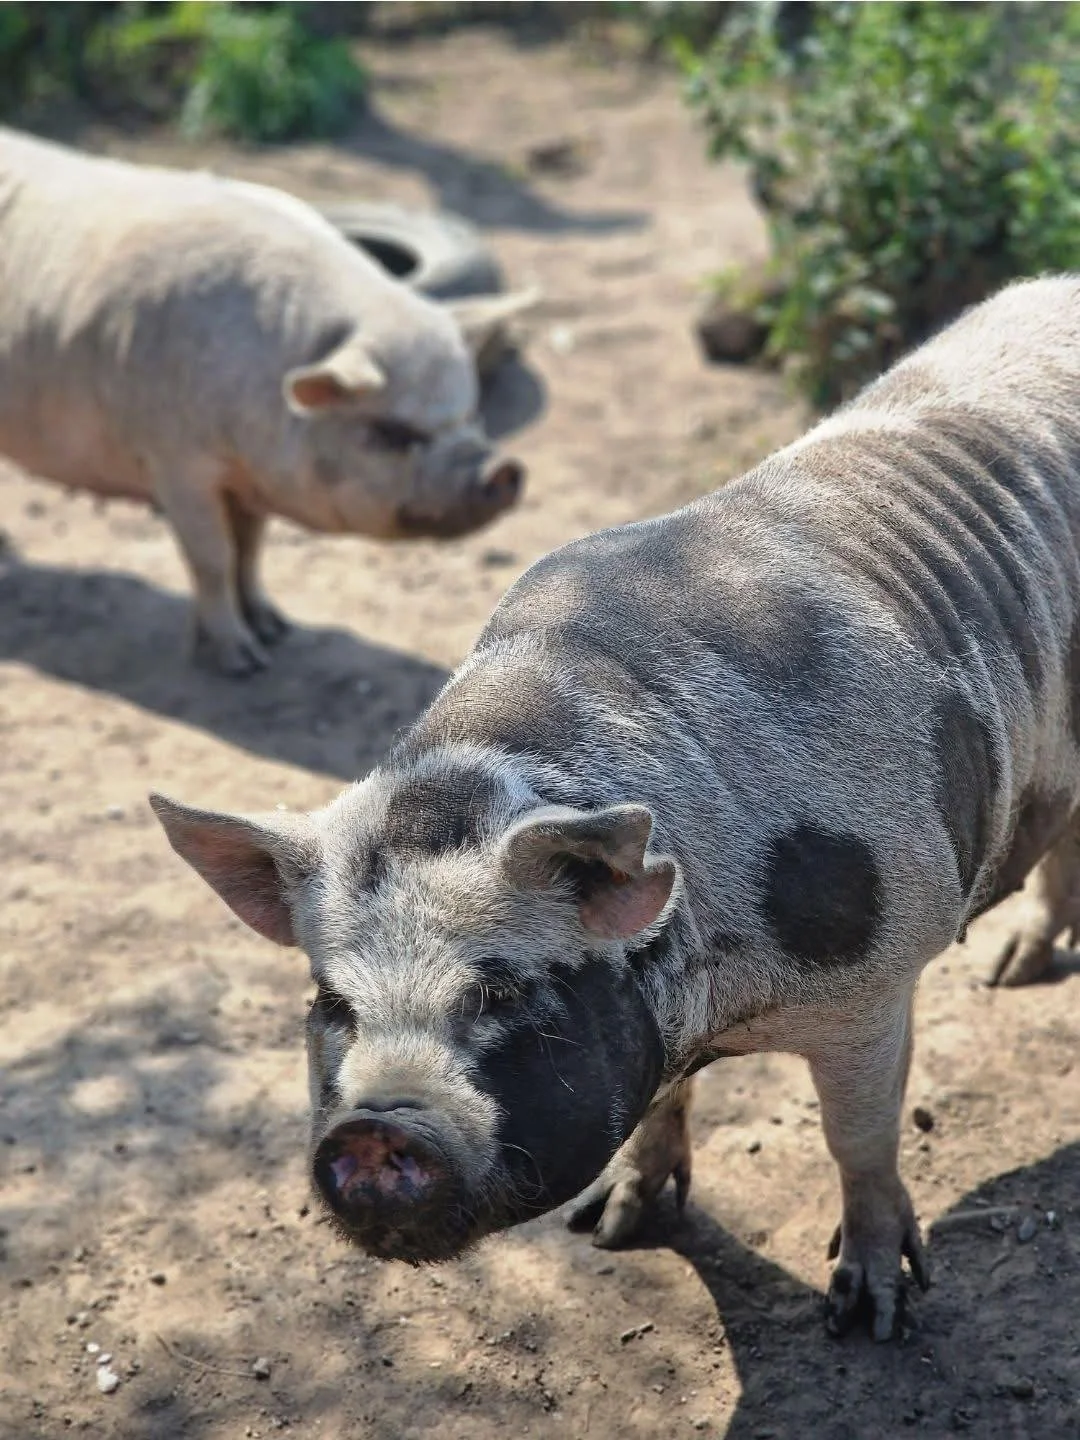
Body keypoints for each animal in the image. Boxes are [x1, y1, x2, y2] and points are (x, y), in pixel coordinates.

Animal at [0, 127, 530, 674]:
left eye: (472, 413)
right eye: (392, 432)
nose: (503, 469)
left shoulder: (250, 478)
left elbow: (250, 550)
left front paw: (277, 629)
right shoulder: (175, 462)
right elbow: (212, 557)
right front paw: (242, 662)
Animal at [152, 275, 1080, 1340]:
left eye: (501, 993)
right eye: (332, 1002)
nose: (377, 1127)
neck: (718, 994)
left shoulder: (875, 978)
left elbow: (860, 1141)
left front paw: (868, 1314)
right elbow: (656, 1115)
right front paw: (611, 1229)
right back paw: (1017, 971)